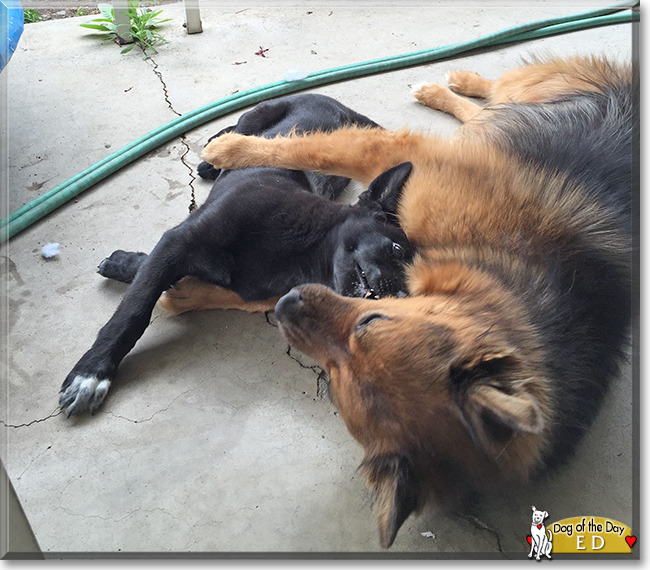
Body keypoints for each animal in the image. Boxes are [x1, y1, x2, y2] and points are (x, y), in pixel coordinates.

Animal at [62, 92, 416, 412]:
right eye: (397, 249)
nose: (401, 299)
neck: (302, 252)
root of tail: (340, 106)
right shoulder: (178, 240)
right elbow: (134, 309)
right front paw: (91, 374)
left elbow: (156, 276)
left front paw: (127, 265)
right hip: (259, 113)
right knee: (237, 126)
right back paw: (212, 155)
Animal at [199, 54, 632, 544]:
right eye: (372, 319)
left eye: (335, 387)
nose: (286, 304)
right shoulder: (417, 161)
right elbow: (318, 149)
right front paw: (229, 149)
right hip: (534, 87)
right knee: (491, 97)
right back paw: (454, 83)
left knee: (481, 114)